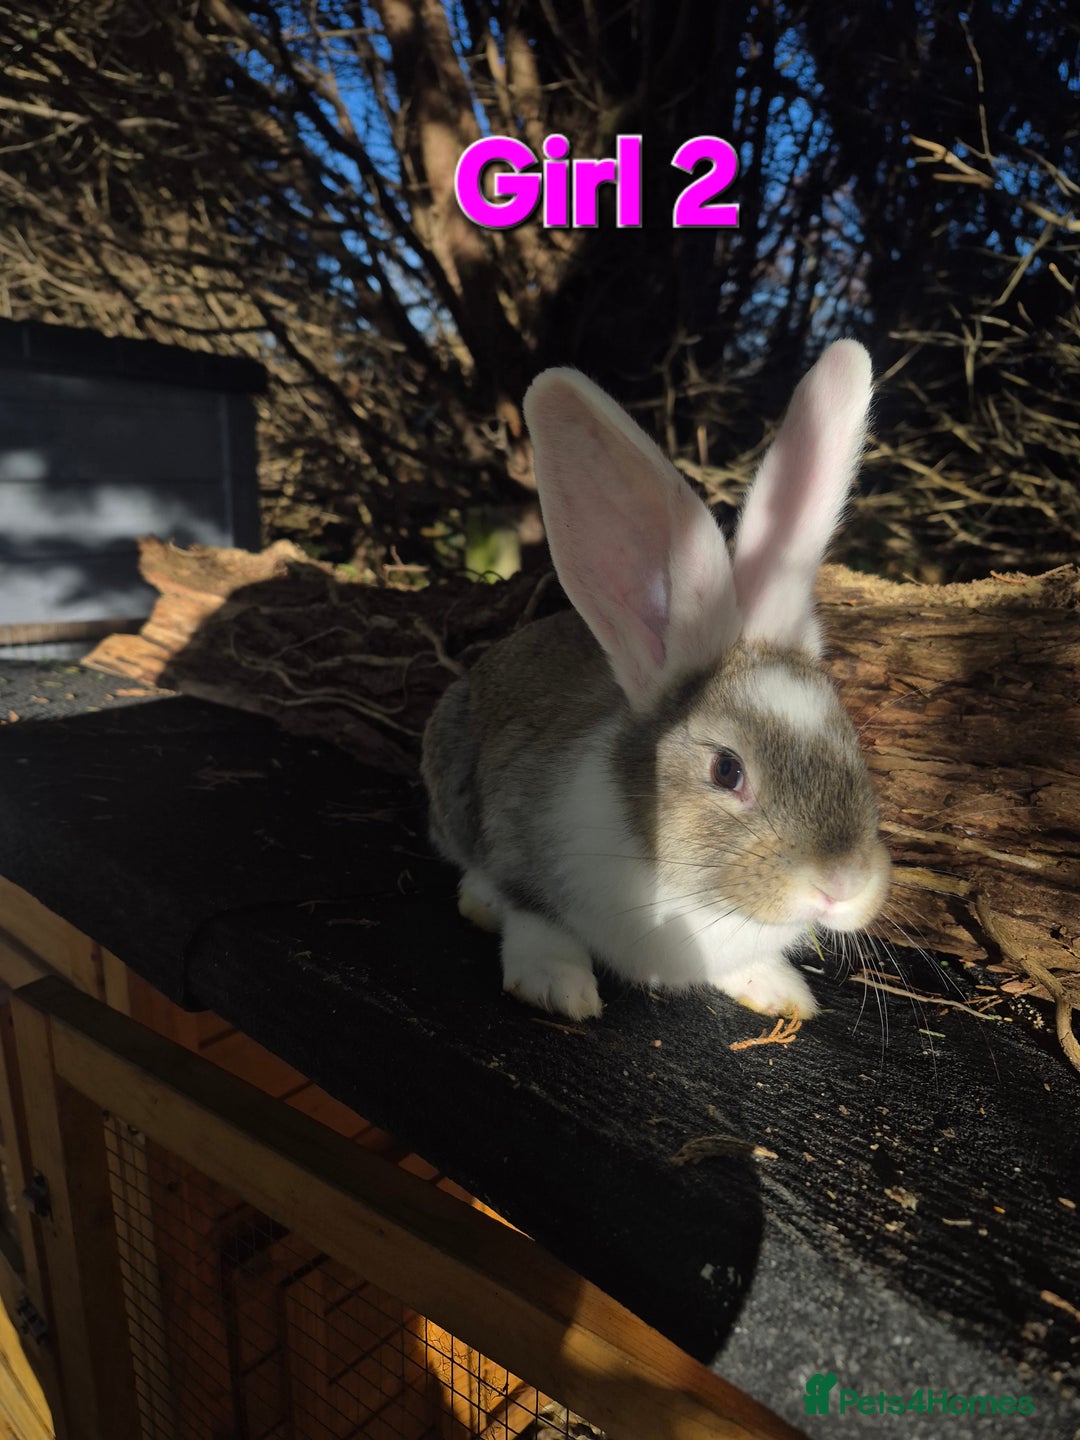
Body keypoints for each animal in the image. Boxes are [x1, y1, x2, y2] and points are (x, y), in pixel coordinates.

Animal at [421, 340, 891, 1022]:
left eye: (853, 747)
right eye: (727, 770)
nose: (843, 885)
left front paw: (779, 990)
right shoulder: (516, 834)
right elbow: (534, 915)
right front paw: (556, 985)